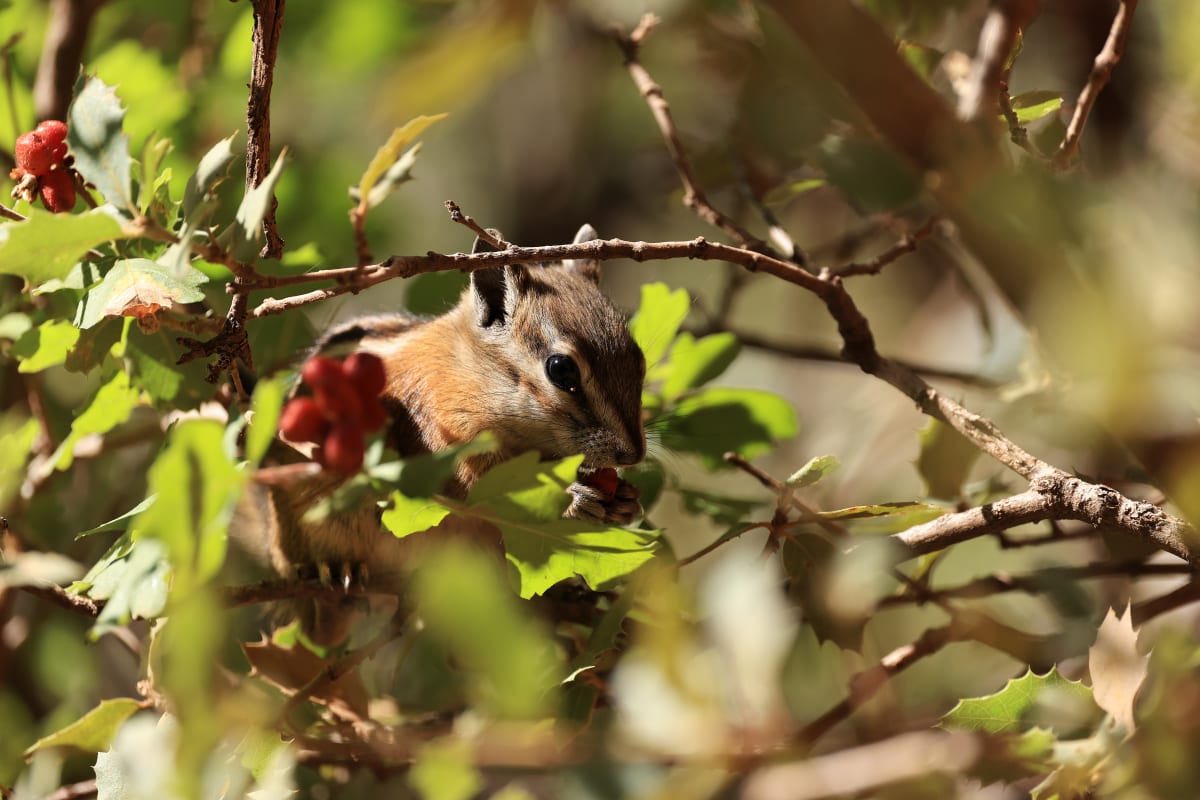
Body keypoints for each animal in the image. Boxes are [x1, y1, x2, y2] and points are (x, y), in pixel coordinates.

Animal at [233, 224, 647, 643]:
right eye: (562, 369)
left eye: (639, 359)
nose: (633, 455)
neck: (467, 371)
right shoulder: (441, 430)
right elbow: (479, 485)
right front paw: (572, 497)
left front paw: (626, 501)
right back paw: (334, 572)